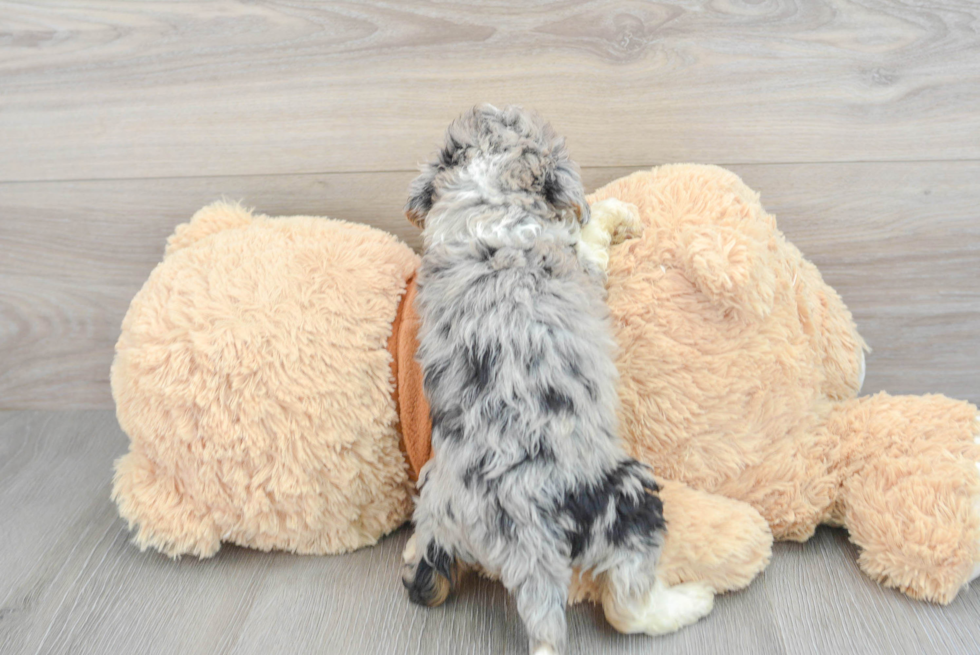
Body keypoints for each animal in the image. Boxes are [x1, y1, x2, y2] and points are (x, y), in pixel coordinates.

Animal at [398, 105, 712, 652]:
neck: (486, 205)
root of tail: (524, 546)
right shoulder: (582, 265)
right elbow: (589, 232)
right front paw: (619, 213)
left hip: (437, 500)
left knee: (428, 576)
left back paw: (413, 555)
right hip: (625, 498)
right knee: (627, 607)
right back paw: (691, 601)